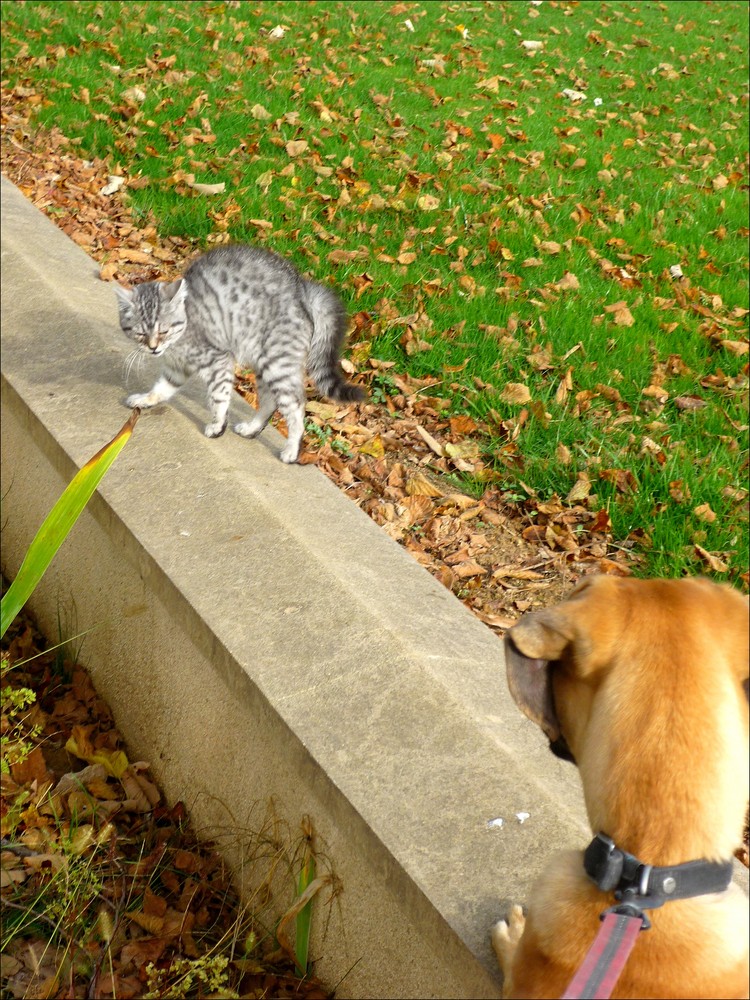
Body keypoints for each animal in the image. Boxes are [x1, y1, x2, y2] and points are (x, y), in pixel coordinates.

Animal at [114, 244, 368, 462]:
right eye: (140, 333)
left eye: (163, 330)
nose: (153, 347)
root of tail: (303, 290)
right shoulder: (176, 368)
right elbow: (161, 388)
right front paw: (146, 399)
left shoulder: (217, 360)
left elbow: (219, 396)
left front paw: (218, 425)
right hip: (265, 365)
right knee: (269, 403)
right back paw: (251, 429)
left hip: (276, 363)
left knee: (295, 406)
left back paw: (291, 450)